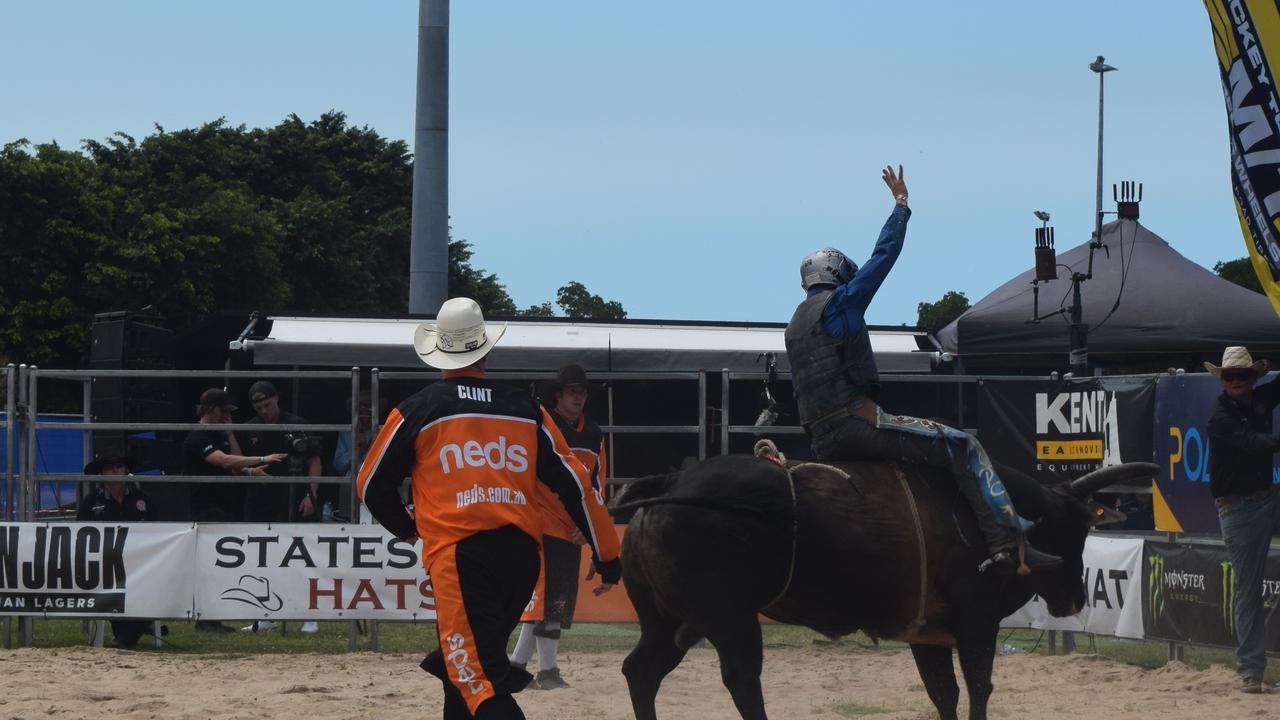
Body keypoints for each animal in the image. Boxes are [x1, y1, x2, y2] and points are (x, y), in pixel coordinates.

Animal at [604, 453, 1157, 717]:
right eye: (1077, 531)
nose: (1076, 598)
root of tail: (671, 484)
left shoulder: (928, 636)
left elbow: (945, 695)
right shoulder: (977, 624)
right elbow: (979, 688)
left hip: (668, 621)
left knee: (640, 672)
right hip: (731, 621)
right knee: (742, 681)